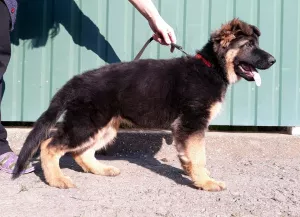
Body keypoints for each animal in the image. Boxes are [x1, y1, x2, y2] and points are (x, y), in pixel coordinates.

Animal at [12, 19, 276, 192]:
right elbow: (199, 156)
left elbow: (191, 156)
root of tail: (77, 80)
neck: (211, 67)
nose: (273, 60)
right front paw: (206, 182)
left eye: (256, 44)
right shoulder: (192, 123)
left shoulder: (187, 128)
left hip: (104, 126)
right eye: (249, 46)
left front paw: (194, 174)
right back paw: (57, 179)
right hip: (86, 124)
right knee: (49, 145)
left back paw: (101, 170)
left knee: (80, 152)